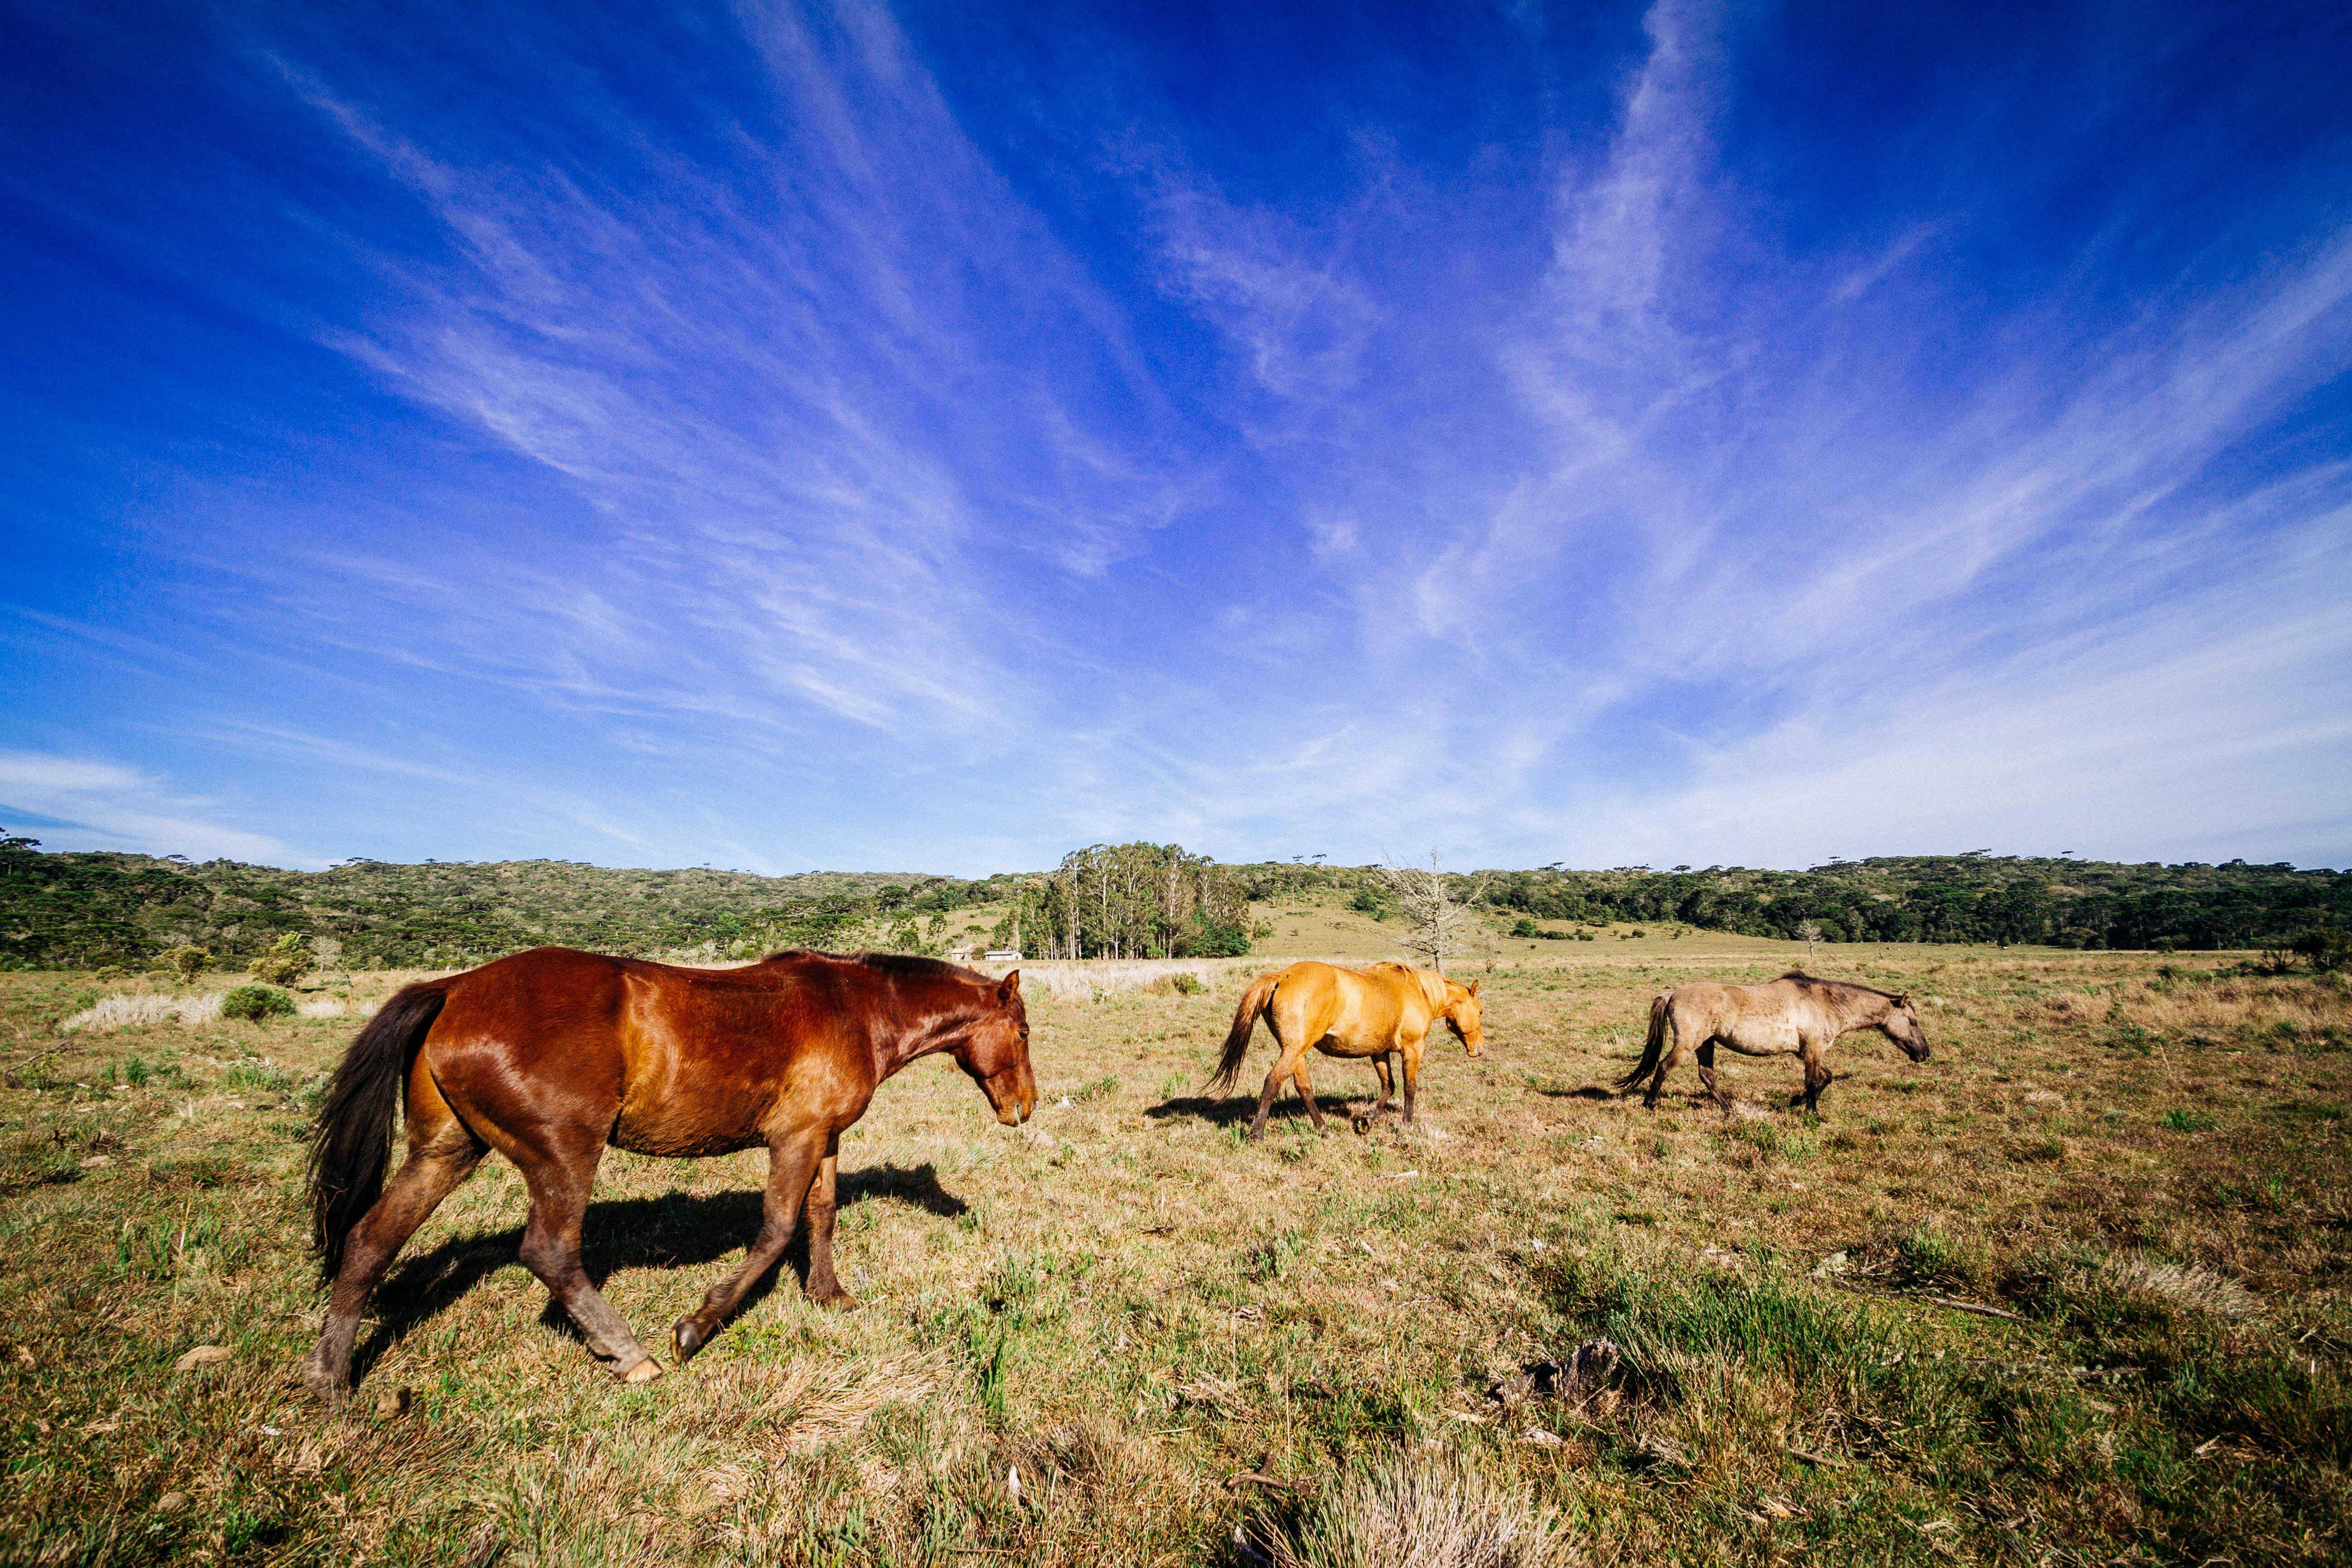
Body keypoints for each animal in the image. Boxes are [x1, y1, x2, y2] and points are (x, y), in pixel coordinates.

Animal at [299, 945, 1034, 1401]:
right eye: (1024, 1033)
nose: (1023, 1108)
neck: (854, 1008)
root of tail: (452, 988)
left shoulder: (823, 1138)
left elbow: (820, 1217)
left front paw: (828, 1294)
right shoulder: (794, 1140)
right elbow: (775, 1232)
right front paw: (699, 1326)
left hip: (446, 1151)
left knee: (369, 1241)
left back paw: (331, 1380)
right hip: (563, 1154)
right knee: (550, 1253)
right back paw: (629, 1353)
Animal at [1204, 959, 1477, 1142]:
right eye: (1481, 1012)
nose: (1478, 1050)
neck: (1418, 992)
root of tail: (1282, 976)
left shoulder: (1379, 1053)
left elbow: (1388, 1087)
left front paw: (1367, 1121)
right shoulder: (1413, 1048)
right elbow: (1409, 1087)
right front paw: (1407, 1124)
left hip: (1295, 1051)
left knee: (1304, 1088)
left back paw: (1325, 1131)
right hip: (1295, 1050)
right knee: (1273, 1081)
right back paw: (1257, 1134)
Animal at [1618, 968, 1928, 1114]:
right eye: (1913, 1021)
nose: (1925, 1054)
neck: (1827, 1003)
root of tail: (1672, 993)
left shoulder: (1808, 1052)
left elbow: (1826, 1078)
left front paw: (1795, 1102)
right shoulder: (1813, 1050)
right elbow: (1814, 1081)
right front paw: (1813, 1113)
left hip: (1706, 1043)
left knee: (1707, 1075)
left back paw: (1729, 1110)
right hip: (1688, 1043)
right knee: (1664, 1067)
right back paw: (1650, 1104)